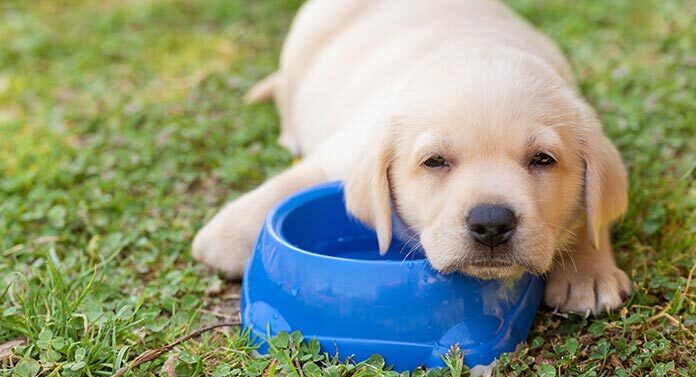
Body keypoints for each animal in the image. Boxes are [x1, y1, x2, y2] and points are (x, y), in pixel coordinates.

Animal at [190, 0, 632, 312]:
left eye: (542, 160)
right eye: (434, 162)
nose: (491, 224)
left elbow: (592, 212)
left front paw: (588, 269)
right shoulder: (343, 151)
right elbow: (292, 184)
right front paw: (225, 235)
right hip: (301, 48)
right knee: (285, 88)